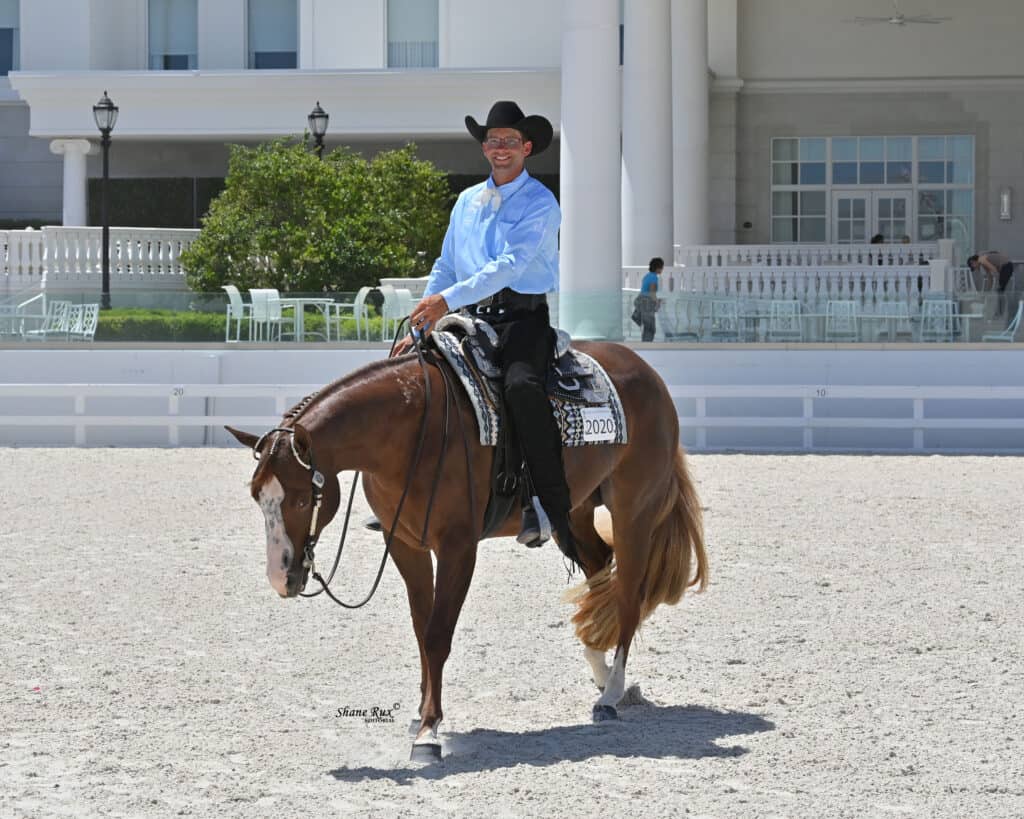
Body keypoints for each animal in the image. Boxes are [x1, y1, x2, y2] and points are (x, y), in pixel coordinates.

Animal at [226, 339, 707, 761]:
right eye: (256, 496)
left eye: (301, 500)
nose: (281, 579)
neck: (408, 432)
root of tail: (646, 372)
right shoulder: (404, 544)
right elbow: (421, 631)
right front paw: (422, 713)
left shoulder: (458, 547)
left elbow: (438, 635)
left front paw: (428, 732)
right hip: (576, 510)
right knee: (598, 570)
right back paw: (602, 672)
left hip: (634, 511)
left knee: (627, 593)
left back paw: (611, 693)